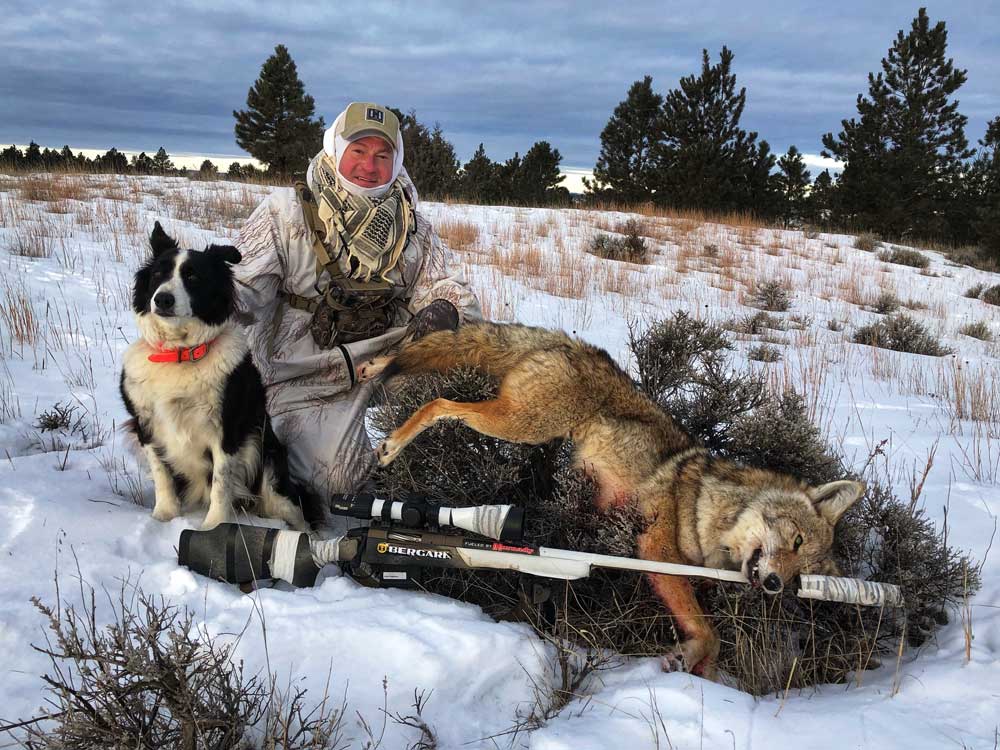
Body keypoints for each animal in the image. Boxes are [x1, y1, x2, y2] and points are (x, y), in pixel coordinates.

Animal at [120, 225, 316, 536]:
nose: (162, 299)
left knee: (296, 513)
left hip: (269, 466)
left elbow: (222, 483)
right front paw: (164, 515)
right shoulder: (146, 424)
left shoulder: (228, 430)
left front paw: (213, 526)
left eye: (193, 277)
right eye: (158, 275)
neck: (180, 354)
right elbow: (161, 473)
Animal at [356, 324, 864, 680]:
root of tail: (574, 345)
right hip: (520, 425)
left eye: (801, 576)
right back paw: (390, 445)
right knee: (440, 403)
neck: (708, 507)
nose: (775, 585)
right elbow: (711, 632)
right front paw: (690, 658)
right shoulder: (656, 551)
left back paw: (370, 367)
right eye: (795, 540)